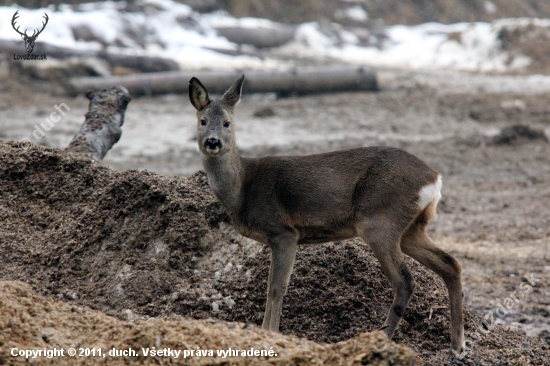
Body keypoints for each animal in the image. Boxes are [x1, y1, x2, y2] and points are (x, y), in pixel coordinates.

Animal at [189, 74, 466, 352]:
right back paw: (457, 343)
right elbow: (271, 287)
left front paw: (271, 333)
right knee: (451, 264)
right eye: (203, 121)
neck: (243, 188)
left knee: (405, 281)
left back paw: (381, 336)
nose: (212, 142)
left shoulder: (283, 232)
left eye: (227, 123)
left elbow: (276, 287)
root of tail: (434, 178)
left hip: (380, 221)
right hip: (410, 228)